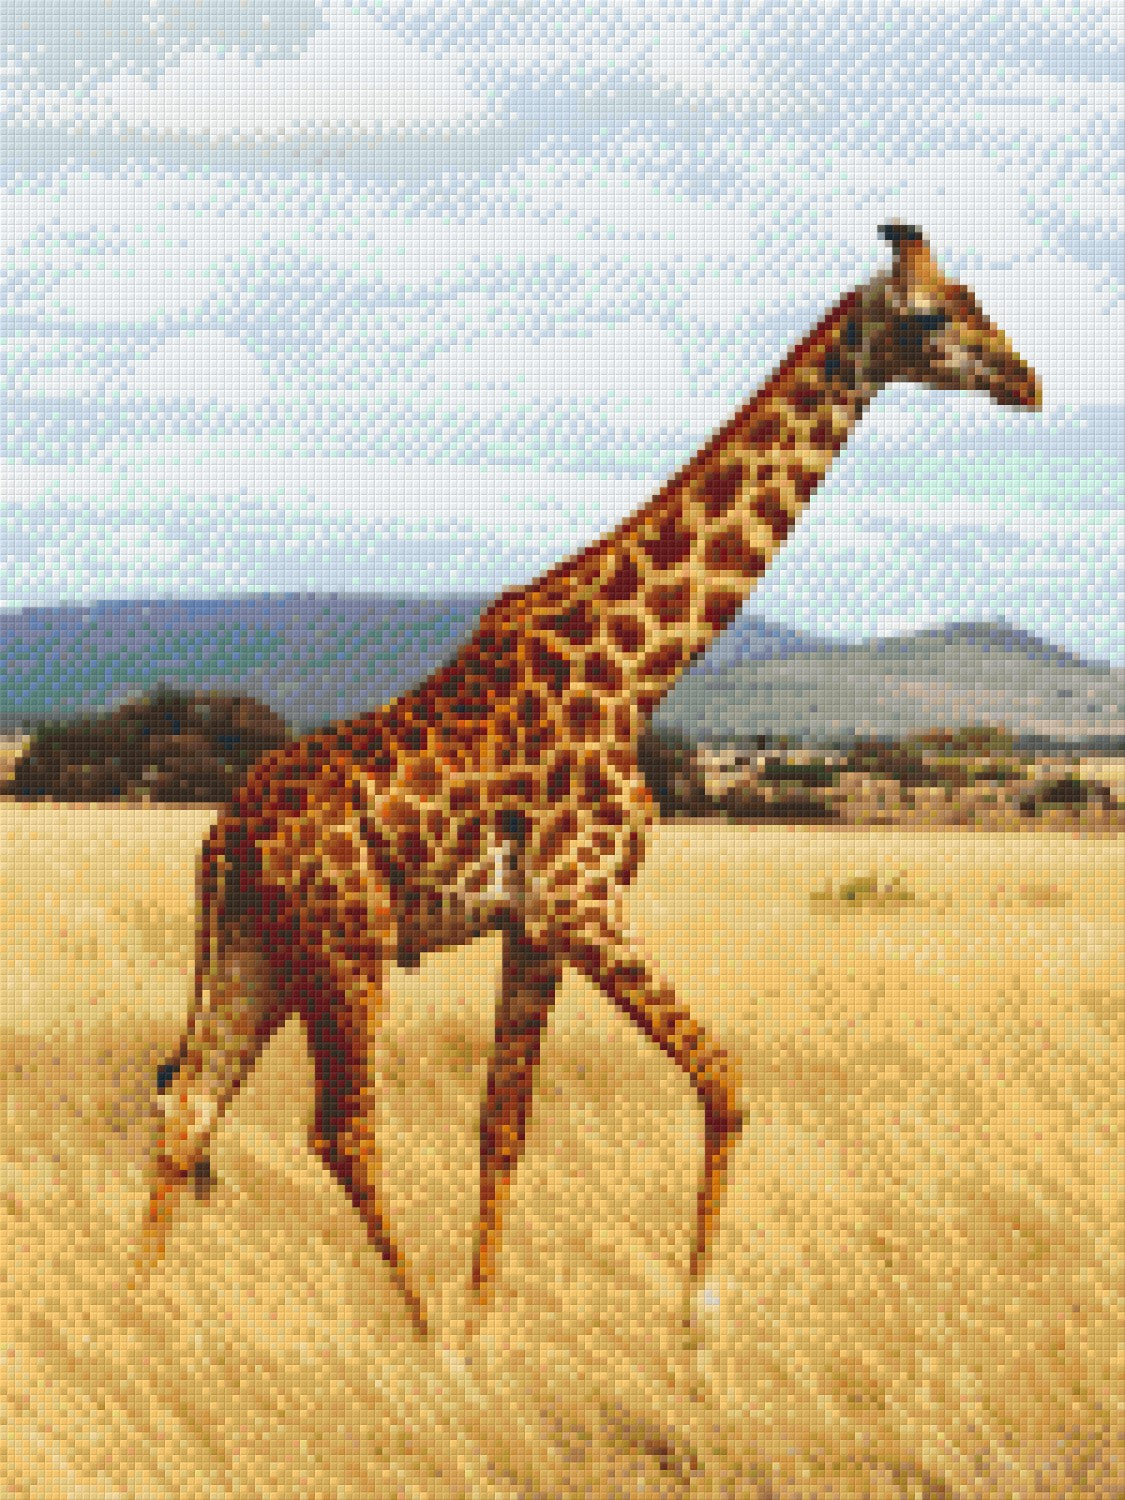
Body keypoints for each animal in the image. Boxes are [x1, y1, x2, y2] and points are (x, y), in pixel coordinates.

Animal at [138, 225, 1040, 1342]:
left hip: (260, 946)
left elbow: (503, 1124)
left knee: (188, 1105)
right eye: (927, 316)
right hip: (346, 943)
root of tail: (223, 836)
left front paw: (488, 1329)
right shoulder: (584, 902)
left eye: (974, 294)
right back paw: (421, 1338)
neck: (640, 672)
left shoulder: (533, 924)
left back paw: (138, 1314)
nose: (1025, 380)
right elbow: (725, 1082)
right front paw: (692, 1322)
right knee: (339, 1131)